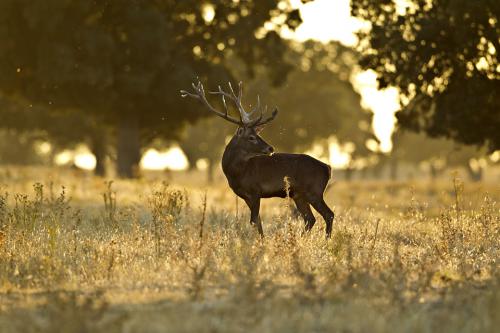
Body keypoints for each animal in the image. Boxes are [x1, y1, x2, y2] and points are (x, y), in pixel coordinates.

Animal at [182, 81, 334, 236]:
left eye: (257, 134)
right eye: (251, 137)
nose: (271, 148)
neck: (237, 173)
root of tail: (327, 168)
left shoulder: (255, 191)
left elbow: (254, 220)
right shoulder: (246, 196)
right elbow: (257, 222)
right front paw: (262, 240)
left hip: (314, 191)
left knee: (328, 214)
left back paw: (325, 240)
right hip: (299, 195)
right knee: (310, 218)